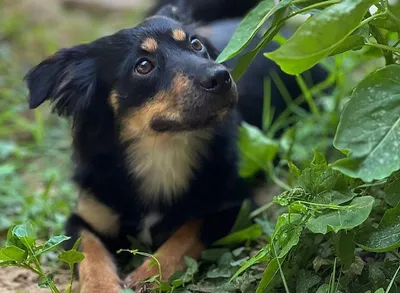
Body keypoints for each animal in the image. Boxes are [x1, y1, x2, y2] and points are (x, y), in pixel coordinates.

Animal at [25, 2, 332, 292]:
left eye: (196, 45)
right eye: (143, 65)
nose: (221, 76)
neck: (161, 150)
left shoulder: (235, 206)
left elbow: (186, 233)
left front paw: (148, 274)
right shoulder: (83, 218)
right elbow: (89, 253)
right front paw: (101, 287)